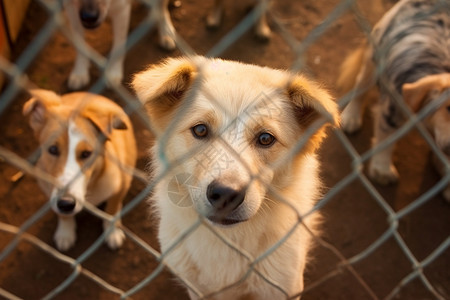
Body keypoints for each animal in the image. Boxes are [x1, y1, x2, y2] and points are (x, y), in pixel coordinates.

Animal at [23, 89, 135, 251]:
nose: (66, 203)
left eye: (86, 153)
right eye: (53, 149)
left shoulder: (121, 185)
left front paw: (112, 232)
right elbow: (62, 215)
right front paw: (65, 232)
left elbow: (112, 209)